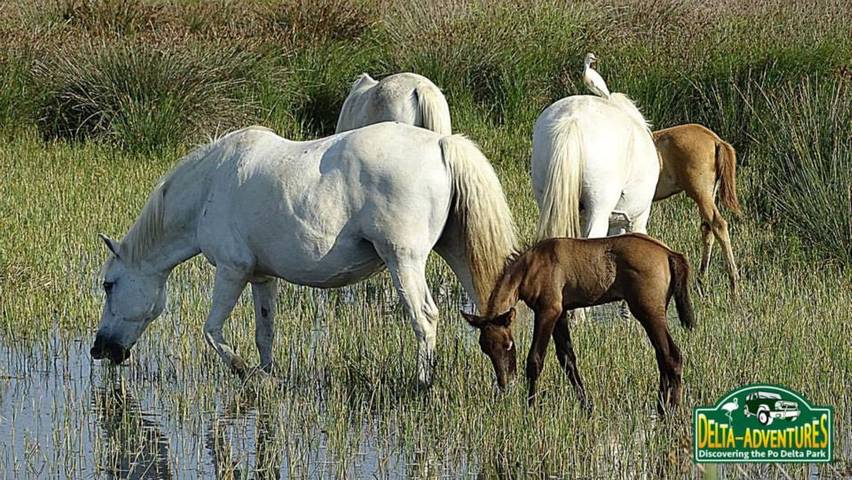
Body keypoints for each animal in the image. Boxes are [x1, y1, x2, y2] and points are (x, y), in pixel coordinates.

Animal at [90, 122, 517, 388]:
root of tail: (441, 144)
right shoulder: (262, 277)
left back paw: (422, 383)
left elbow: (212, 331)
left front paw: (248, 373)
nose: (99, 349)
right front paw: (269, 374)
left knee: (424, 318)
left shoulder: (231, 271)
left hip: (404, 261)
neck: (211, 185)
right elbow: (264, 334)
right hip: (457, 252)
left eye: (109, 285)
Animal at [462, 234, 694, 414]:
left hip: (648, 312)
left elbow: (535, 360)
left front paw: (530, 407)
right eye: (485, 349)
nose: (504, 382)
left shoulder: (548, 311)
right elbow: (568, 359)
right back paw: (661, 408)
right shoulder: (561, 313)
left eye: (508, 345)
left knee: (672, 356)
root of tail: (669, 253)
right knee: (662, 356)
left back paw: (672, 410)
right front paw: (586, 405)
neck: (531, 266)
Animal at [653, 123, 741, 296]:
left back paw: (734, 286)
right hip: (709, 195)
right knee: (708, 230)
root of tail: (716, 140)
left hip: (701, 194)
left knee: (719, 225)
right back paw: (702, 282)